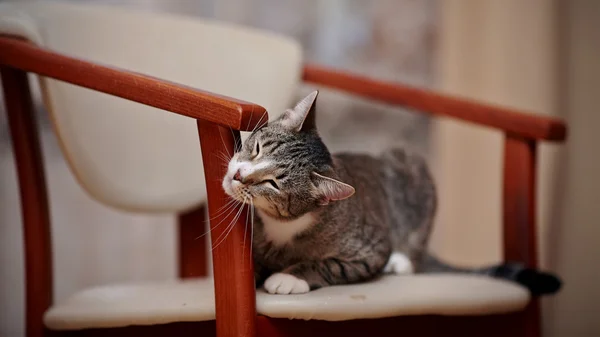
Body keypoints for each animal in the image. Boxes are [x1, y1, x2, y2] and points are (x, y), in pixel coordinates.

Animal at [221, 90, 564, 296]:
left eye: (273, 183)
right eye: (257, 147)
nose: (239, 175)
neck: (282, 228)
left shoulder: (368, 249)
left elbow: (328, 265)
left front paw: (289, 277)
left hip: (411, 166)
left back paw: (401, 261)